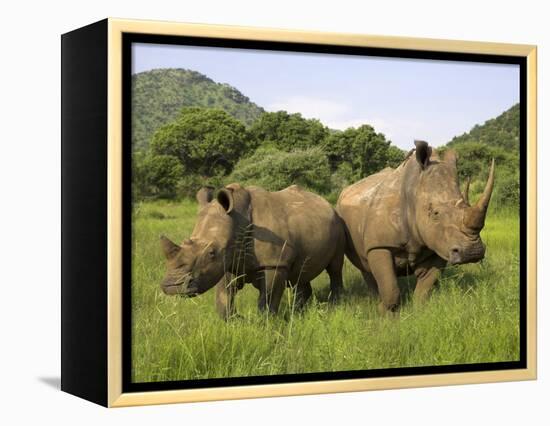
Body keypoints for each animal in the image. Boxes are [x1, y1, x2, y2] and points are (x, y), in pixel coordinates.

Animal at [160, 183, 348, 320]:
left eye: (211, 253)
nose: (171, 286)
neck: (237, 220)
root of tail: (327, 203)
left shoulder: (274, 263)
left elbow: (268, 297)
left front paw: (266, 322)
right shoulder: (229, 260)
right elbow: (224, 295)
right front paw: (235, 320)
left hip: (338, 223)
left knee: (335, 267)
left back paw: (335, 304)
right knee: (301, 272)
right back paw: (298, 311)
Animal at [338, 141, 498, 314]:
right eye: (435, 213)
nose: (472, 252)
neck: (414, 193)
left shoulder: (438, 244)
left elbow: (424, 289)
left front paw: (418, 313)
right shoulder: (379, 245)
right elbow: (390, 288)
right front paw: (384, 313)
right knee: (365, 266)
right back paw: (374, 300)